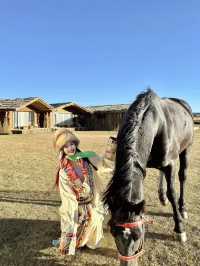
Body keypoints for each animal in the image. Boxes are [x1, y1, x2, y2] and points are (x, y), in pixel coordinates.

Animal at [104, 90, 193, 266]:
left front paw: (179, 229)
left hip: (186, 149)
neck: (158, 123)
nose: (128, 264)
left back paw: (182, 208)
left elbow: (172, 192)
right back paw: (162, 196)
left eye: (139, 234)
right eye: (113, 232)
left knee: (182, 177)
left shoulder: (171, 163)